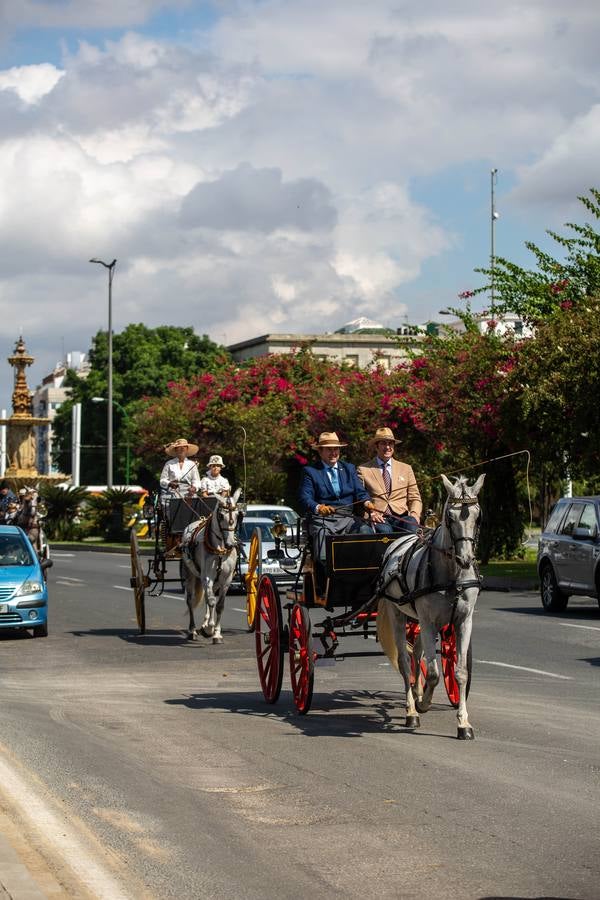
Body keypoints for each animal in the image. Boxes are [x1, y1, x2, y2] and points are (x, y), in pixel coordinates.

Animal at [180, 488, 241, 644]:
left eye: (238, 515)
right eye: (220, 515)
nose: (230, 544)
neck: (220, 549)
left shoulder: (226, 580)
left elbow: (219, 605)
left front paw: (217, 633)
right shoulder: (207, 577)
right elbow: (212, 601)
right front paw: (209, 628)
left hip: (215, 582)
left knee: (209, 598)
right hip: (190, 574)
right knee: (191, 601)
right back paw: (193, 630)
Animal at [378, 472, 486, 740]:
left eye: (477, 515)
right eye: (450, 517)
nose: (465, 559)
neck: (452, 575)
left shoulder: (463, 621)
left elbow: (460, 671)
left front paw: (463, 723)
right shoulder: (428, 622)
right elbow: (435, 673)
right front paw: (423, 704)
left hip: (419, 620)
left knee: (416, 653)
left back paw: (417, 692)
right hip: (399, 614)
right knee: (405, 662)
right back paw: (411, 710)